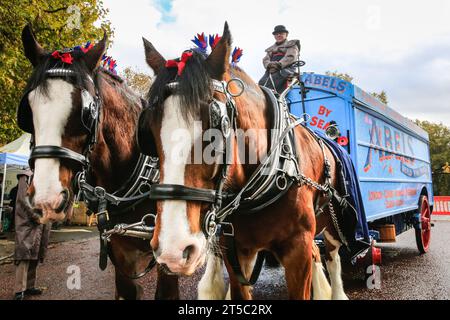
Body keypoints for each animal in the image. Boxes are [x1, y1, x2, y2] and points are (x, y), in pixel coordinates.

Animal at [139, 21, 350, 300]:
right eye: (148, 130)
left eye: (215, 126)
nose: (174, 251)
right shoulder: (237, 250)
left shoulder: (299, 249)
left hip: (332, 226)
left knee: (333, 256)